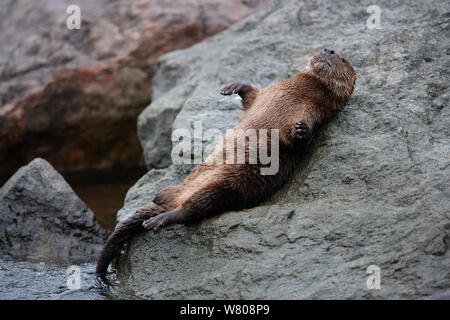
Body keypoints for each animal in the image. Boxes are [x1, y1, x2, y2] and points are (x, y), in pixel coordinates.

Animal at [95, 47, 356, 282]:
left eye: (343, 59)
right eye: (327, 48)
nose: (329, 50)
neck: (298, 91)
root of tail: (175, 198)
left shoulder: (314, 112)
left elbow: (299, 138)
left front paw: (301, 130)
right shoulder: (266, 92)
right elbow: (251, 95)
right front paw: (232, 86)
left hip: (225, 188)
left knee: (191, 211)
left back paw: (160, 220)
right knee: (165, 198)